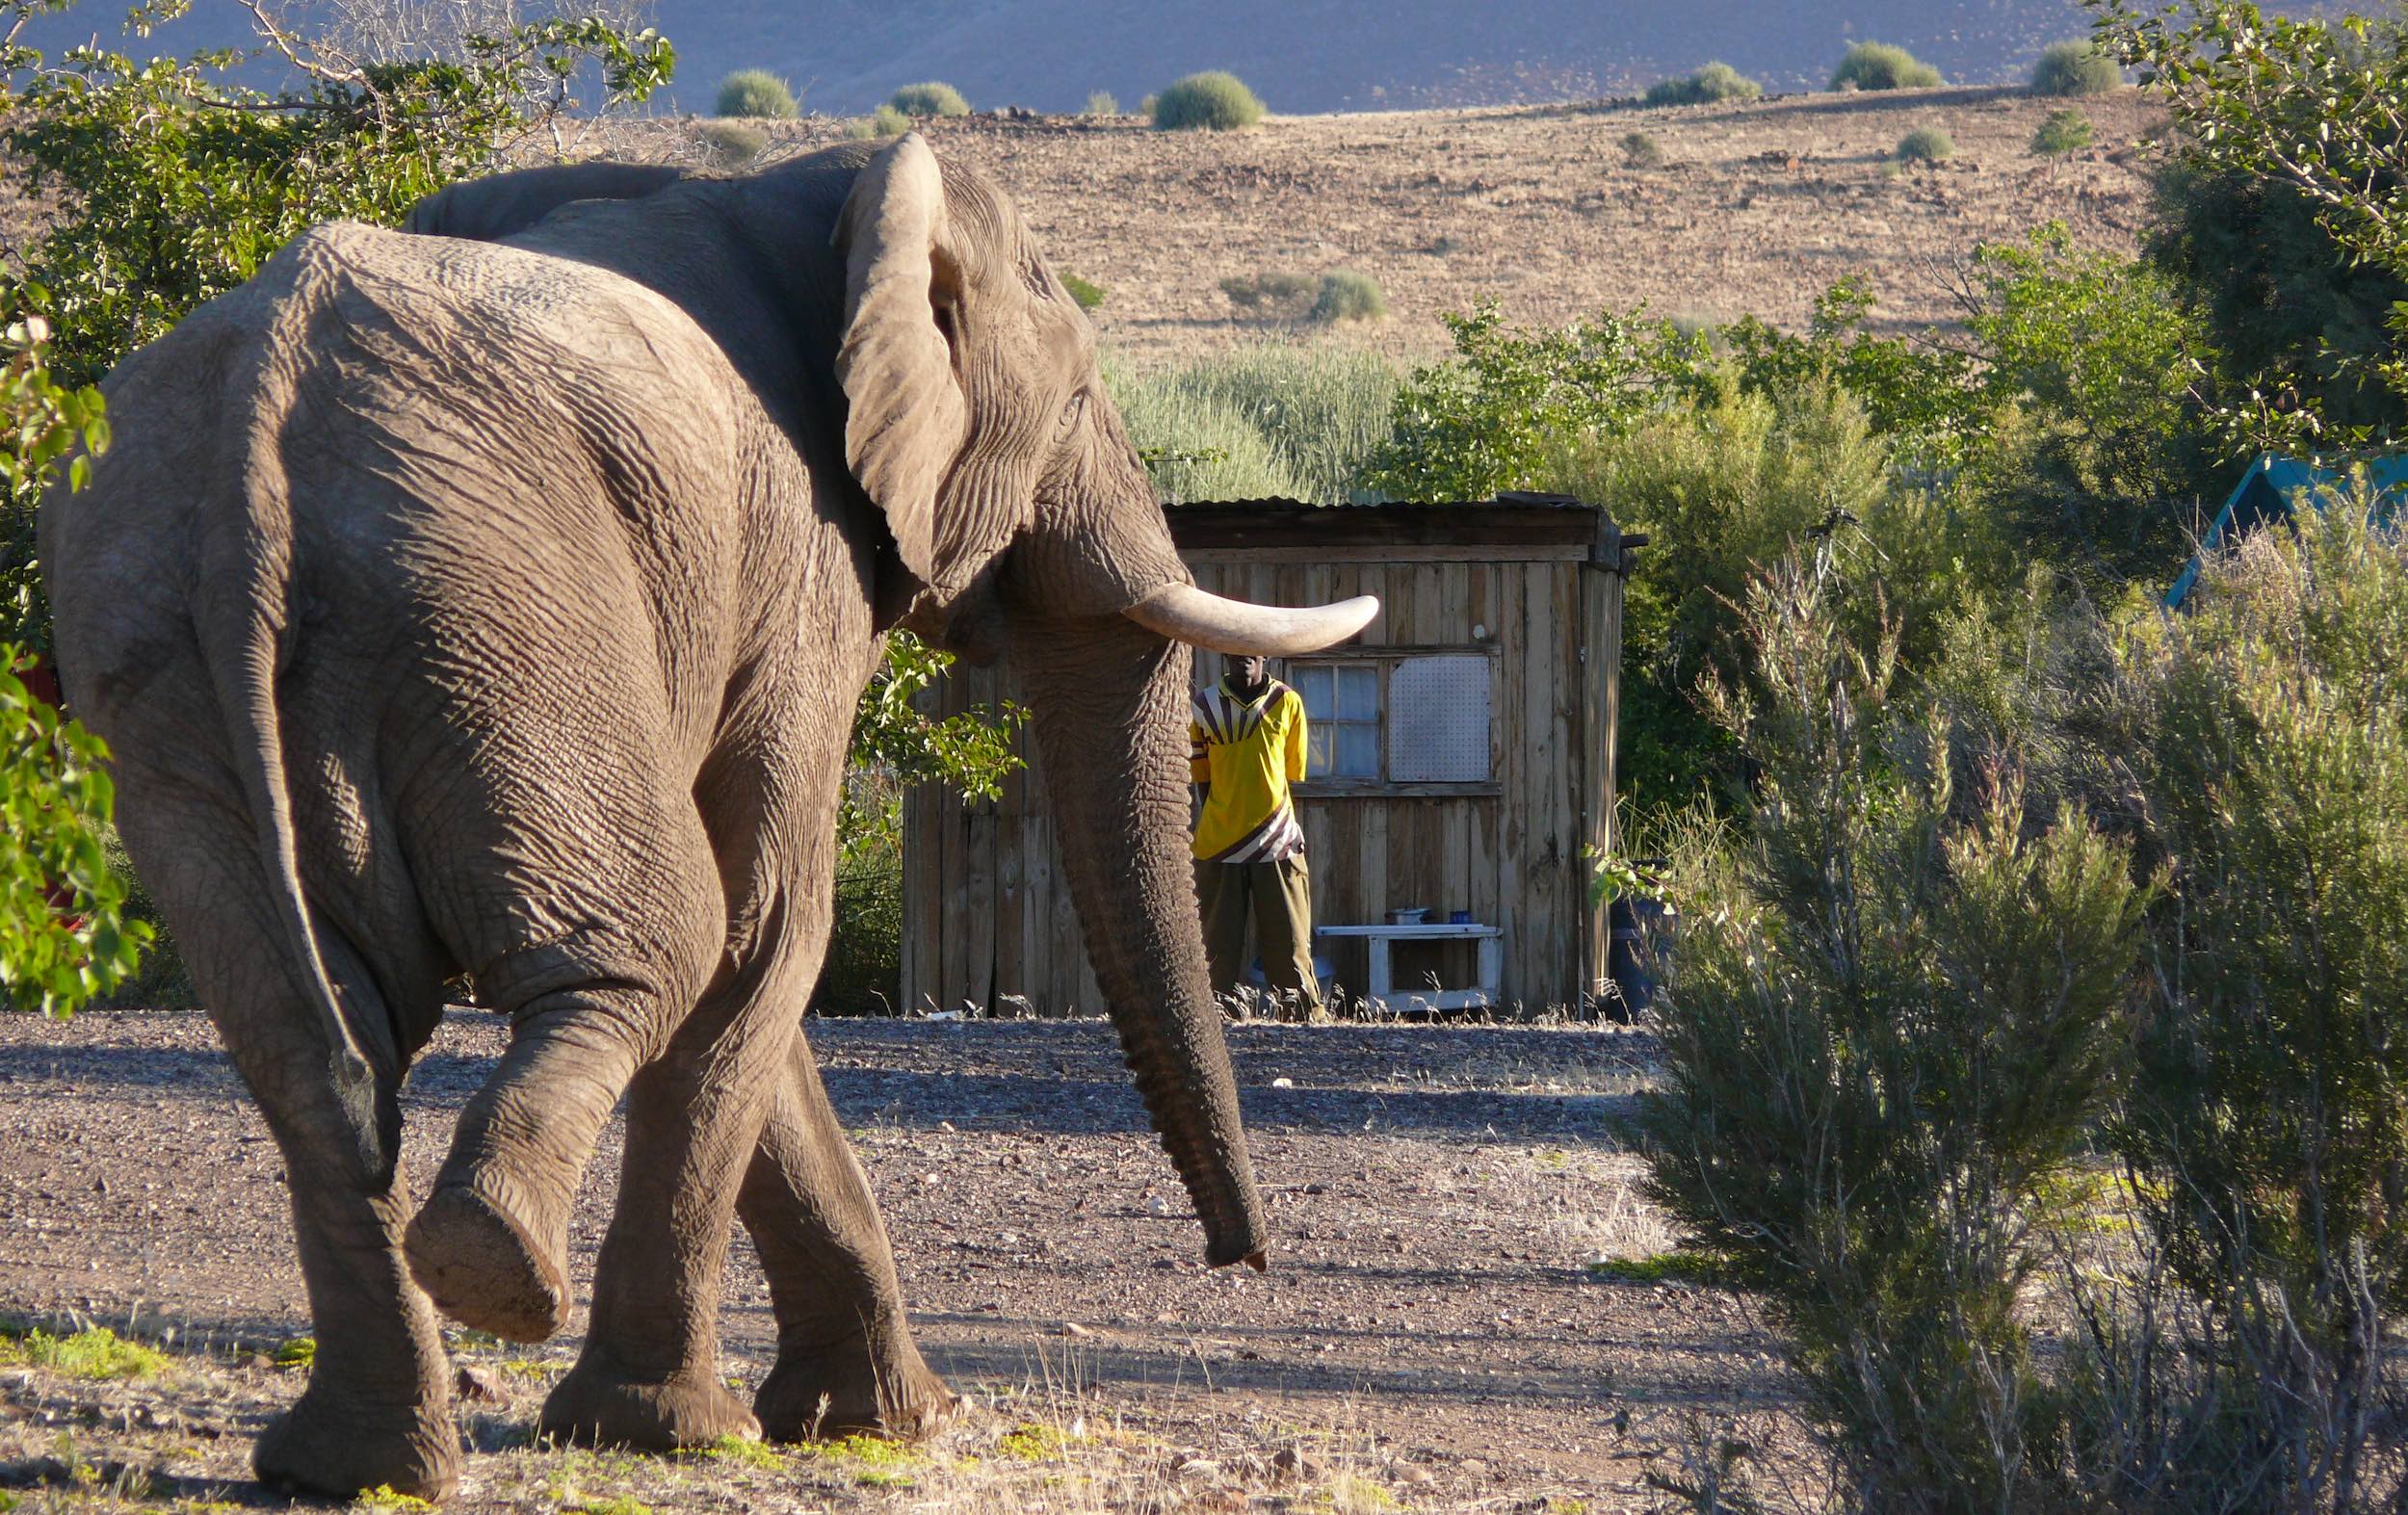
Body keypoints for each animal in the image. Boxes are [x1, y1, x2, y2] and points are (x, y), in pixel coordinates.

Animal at [39, 134, 1377, 1502]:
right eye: (1077, 400)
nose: (1242, 1262)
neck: (816, 203)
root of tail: (255, 428)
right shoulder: (801, 570)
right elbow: (768, 926)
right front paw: (672, 1430)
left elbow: (757, 973)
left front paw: (877, 1419)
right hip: (503, 611)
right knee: (655, 947)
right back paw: (489, 1264)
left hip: (165, 660)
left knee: (310, 1046)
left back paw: (356, 1464)